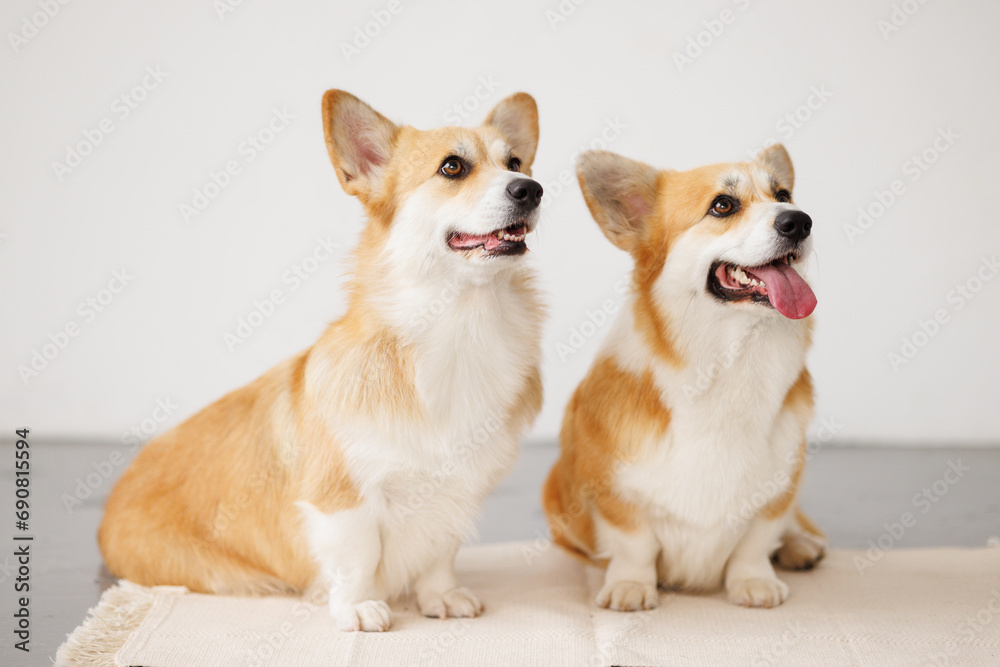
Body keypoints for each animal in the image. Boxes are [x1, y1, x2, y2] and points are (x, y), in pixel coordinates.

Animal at [544, 145, 824, 612]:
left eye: (783, 194)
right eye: (722, 205)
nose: (800, 220)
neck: (730, 361)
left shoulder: (778, 488)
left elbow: (756, 540)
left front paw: (754, 583)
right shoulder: (617, 495)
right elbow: (635, 546)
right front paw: (631, 587)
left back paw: (801, 546)